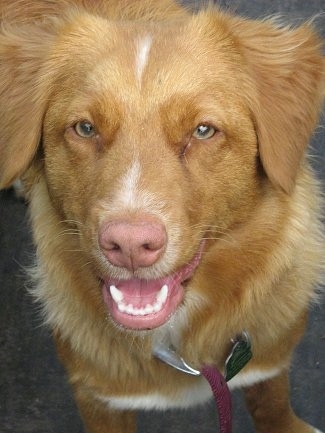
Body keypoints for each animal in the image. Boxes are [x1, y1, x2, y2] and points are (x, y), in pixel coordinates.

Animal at [0, 0, 324, 432]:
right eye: (84, 128)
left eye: (203, 130)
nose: (129, 245)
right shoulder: (97, 397)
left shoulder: (270, 354)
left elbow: (271, 401)